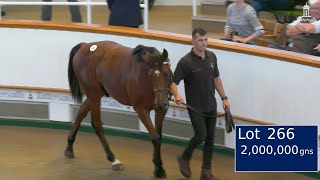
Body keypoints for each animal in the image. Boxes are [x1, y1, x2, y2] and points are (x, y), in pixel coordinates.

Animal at [64, 40, 172, 178]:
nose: (161, 104)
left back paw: (69, 146)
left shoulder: (160, 111)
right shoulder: (141, 110)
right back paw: (113, 159)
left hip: (96, 94)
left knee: (81, 112)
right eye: (151, 76)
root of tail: (85, 45)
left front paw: (158, 165)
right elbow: (155, 137)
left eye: (166, 75)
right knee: (97, 124)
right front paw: (158, 168)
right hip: (93, 94)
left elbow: (159, 136)